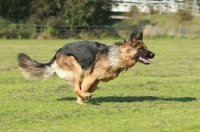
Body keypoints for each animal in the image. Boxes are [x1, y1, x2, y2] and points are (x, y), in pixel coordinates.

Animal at [17, 31, 155, 104]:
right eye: (141, 49)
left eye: (146, 48)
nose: (153, 54)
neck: (118, 55)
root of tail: (58, 52)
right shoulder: (91, 76)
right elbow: (82, 88)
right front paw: (81, 100)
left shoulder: (96, 78)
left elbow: (90, 88)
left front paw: (83, 96)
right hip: (76, 68)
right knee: (75, 88)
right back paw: (83, 97)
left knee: (77, 86)